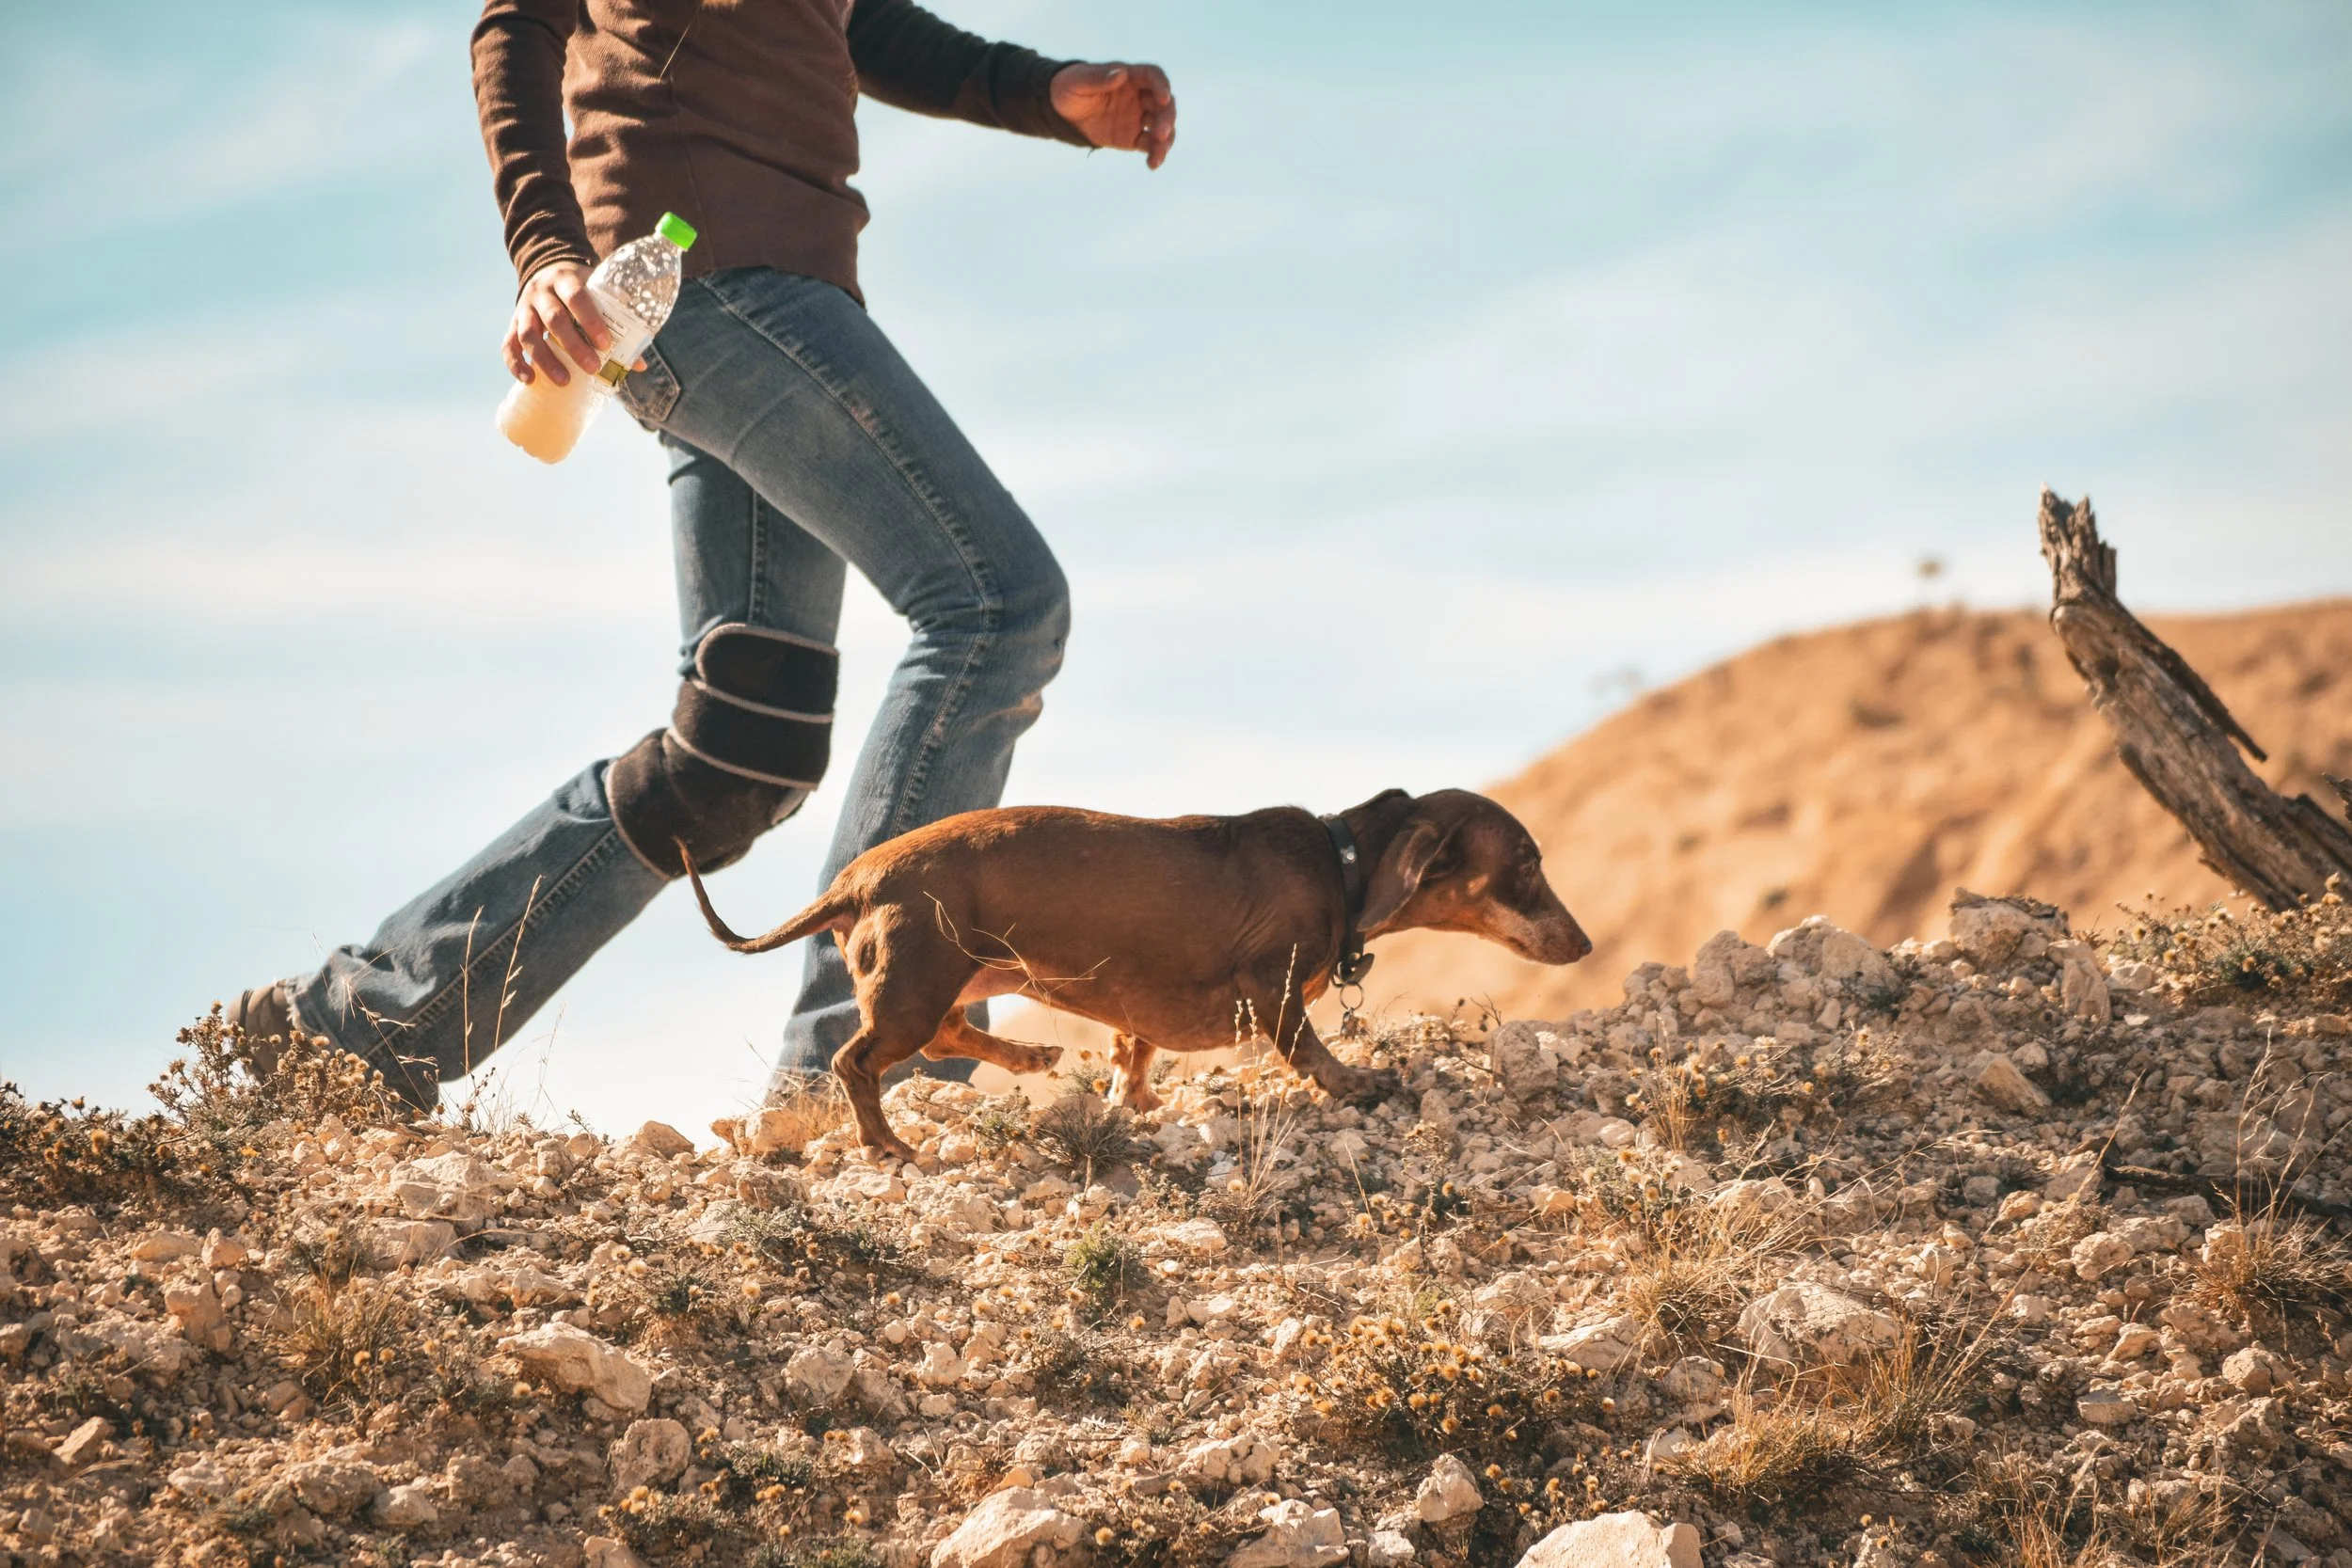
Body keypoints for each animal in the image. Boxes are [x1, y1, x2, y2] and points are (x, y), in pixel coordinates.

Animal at [684, 788, 1591, 1163]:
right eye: (1527, 863)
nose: (1583, 944)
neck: (1341, 862)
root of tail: (855, 880)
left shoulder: (1142, 1007)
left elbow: (1135, 1051)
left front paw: (1136, 1096)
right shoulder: (1273, 984)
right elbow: (1307, 1048)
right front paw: (1356, 1082)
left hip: (959, 975)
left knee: (944, 1035)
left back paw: (1031, 1058)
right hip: (917, 981)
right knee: (857, 1060)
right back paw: (886, 1142)